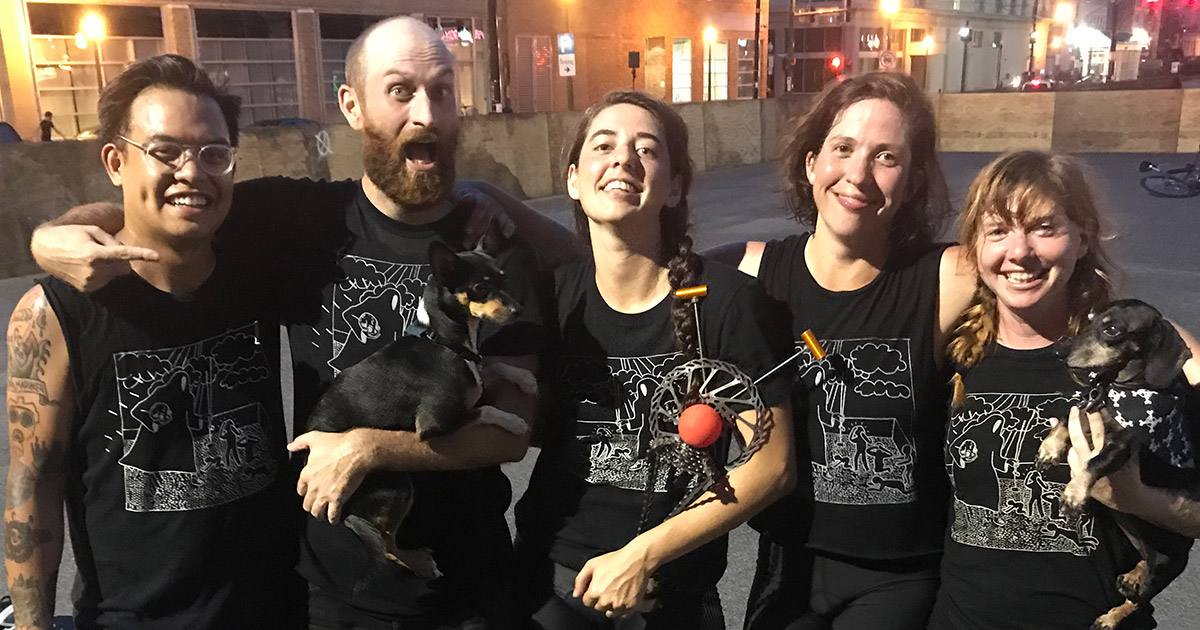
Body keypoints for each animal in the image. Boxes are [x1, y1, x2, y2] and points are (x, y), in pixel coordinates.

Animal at [303, 240, 536, 585]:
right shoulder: (435, 425)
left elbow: (491, 366)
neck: (443, 341)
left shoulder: (476, 370)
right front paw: (514, 421)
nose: (519, 310)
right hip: (399, 486)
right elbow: (484, 408)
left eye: (504, 280)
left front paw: (525, 378)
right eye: (480, 288)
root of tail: (344, 515)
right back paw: (419, 562)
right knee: (386, 543)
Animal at [1037, 298, 1198, 630]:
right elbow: (1069, 414)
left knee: (1142, 596)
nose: (1058, 350)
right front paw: (1050, 449)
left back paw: (1111, 617)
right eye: (1088, 318)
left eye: (1111, 329)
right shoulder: (1090, 406)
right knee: (1146, 562)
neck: (1123, 390)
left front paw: (1073, 495)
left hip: (1167, 565)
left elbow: (1094, 463)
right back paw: (1133, 575)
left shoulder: (1122, 447)